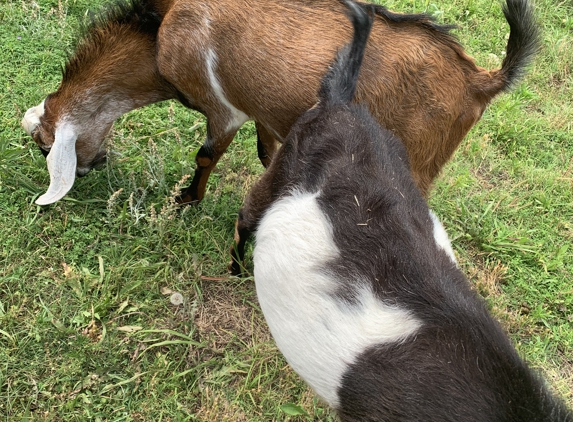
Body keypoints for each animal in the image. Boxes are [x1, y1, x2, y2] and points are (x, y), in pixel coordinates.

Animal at [21, 0, 536, 205]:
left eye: (45, 146)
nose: (95, 166)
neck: (158, 31)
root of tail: (479, 80)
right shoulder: (263, 112)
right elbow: (268, 154)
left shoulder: (222, 110)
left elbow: (206, 154)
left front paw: (187, 200)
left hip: (418, 164)